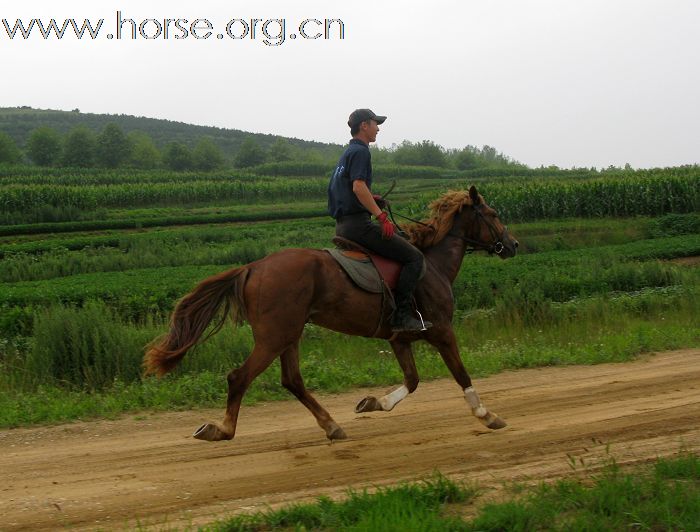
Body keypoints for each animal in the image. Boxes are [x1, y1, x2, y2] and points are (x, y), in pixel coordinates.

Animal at [145, 185, 520, 442]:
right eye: (494, 213)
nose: (513, 245)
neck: (434, 264)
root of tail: (253, 267)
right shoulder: (442, 331)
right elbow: (461, 374)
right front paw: (487, 415)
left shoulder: (400, 339)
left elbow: (412, 381)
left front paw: (373, 402)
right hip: (275, 336)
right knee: (240, 377)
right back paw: (222, 429)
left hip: (289, 335)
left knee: (292, 380)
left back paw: (331, 425)